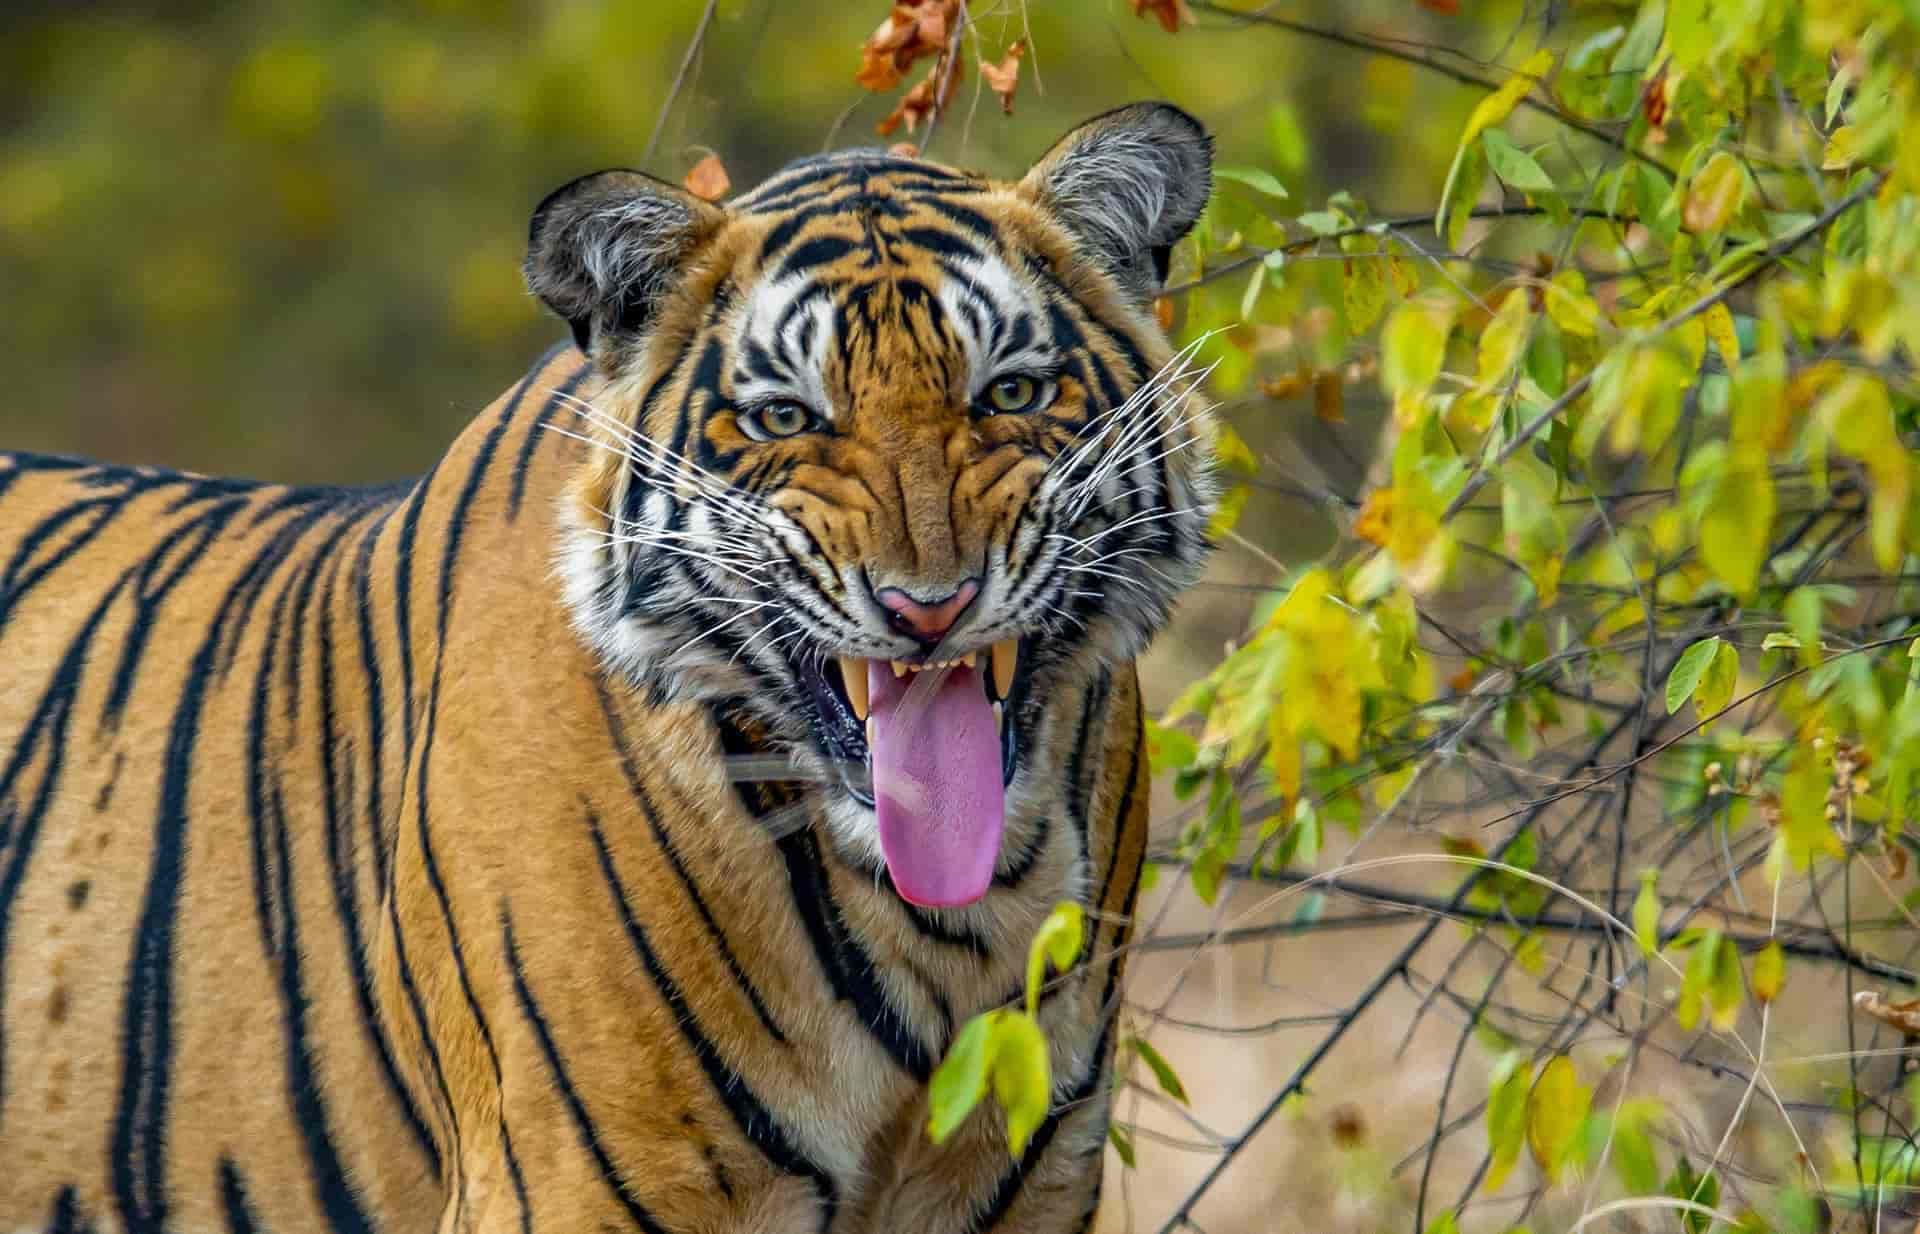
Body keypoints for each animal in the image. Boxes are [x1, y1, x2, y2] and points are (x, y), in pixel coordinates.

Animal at [0, 101, 1215, 1234]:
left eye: (1010, 393)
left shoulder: (1032, 1186)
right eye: (784, 415)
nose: (930, 607)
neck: (951, 925)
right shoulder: (584, 1183)